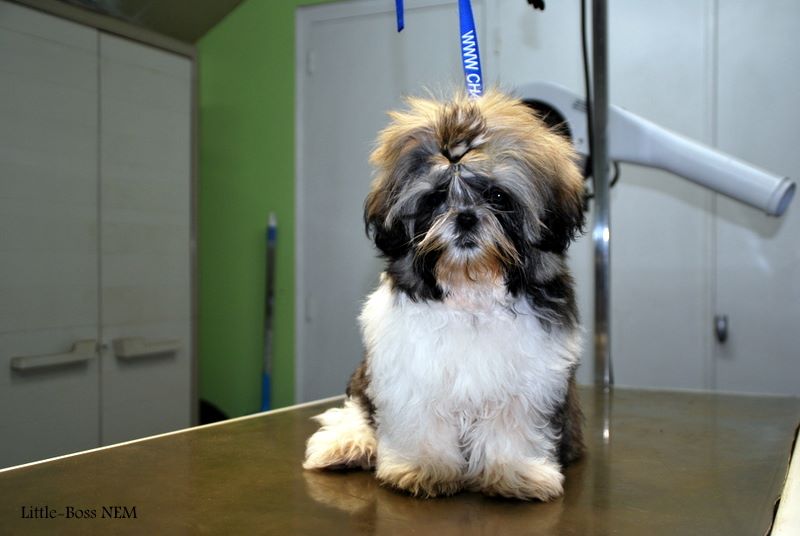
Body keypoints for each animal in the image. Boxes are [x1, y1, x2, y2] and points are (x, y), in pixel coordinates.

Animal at [303, 90, 585, 501]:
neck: (471, 291)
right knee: (355, 410)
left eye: (497, 195)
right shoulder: (409, 370)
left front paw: (513, 471)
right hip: (364, 378)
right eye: (436, 199)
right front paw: (424, 466)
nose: (465, 217)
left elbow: (512, 425)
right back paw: (347, 444)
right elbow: (420, 419)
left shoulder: (530, 379)